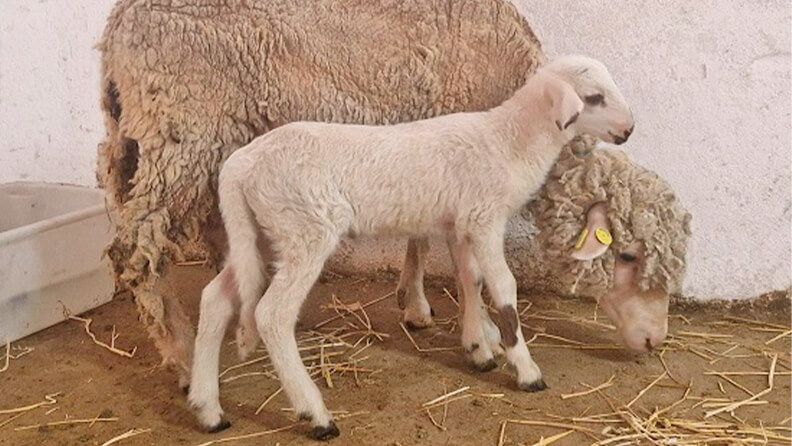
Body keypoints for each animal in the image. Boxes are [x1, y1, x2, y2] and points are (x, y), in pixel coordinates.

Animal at [97, 0, 544, 388]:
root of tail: (118, 26)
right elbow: (463, 260)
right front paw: (482, 334)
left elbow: (421, 236)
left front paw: (416, 305)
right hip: (184, 132)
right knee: (136, 249)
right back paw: (183, 356)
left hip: (153, 143)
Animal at [189, 55, 636, 440]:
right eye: (594, 97)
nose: (629, 130)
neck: (509, 140)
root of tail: (240, 164)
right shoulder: (485, 218)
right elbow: (504, 289)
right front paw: (524, 368)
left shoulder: (460, 223)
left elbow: (470, 281)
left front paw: (479, 346)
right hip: (305, 228)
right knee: (272, 314)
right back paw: (314, 413)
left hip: (261, 234)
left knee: (215, 299)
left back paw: (208, 409)